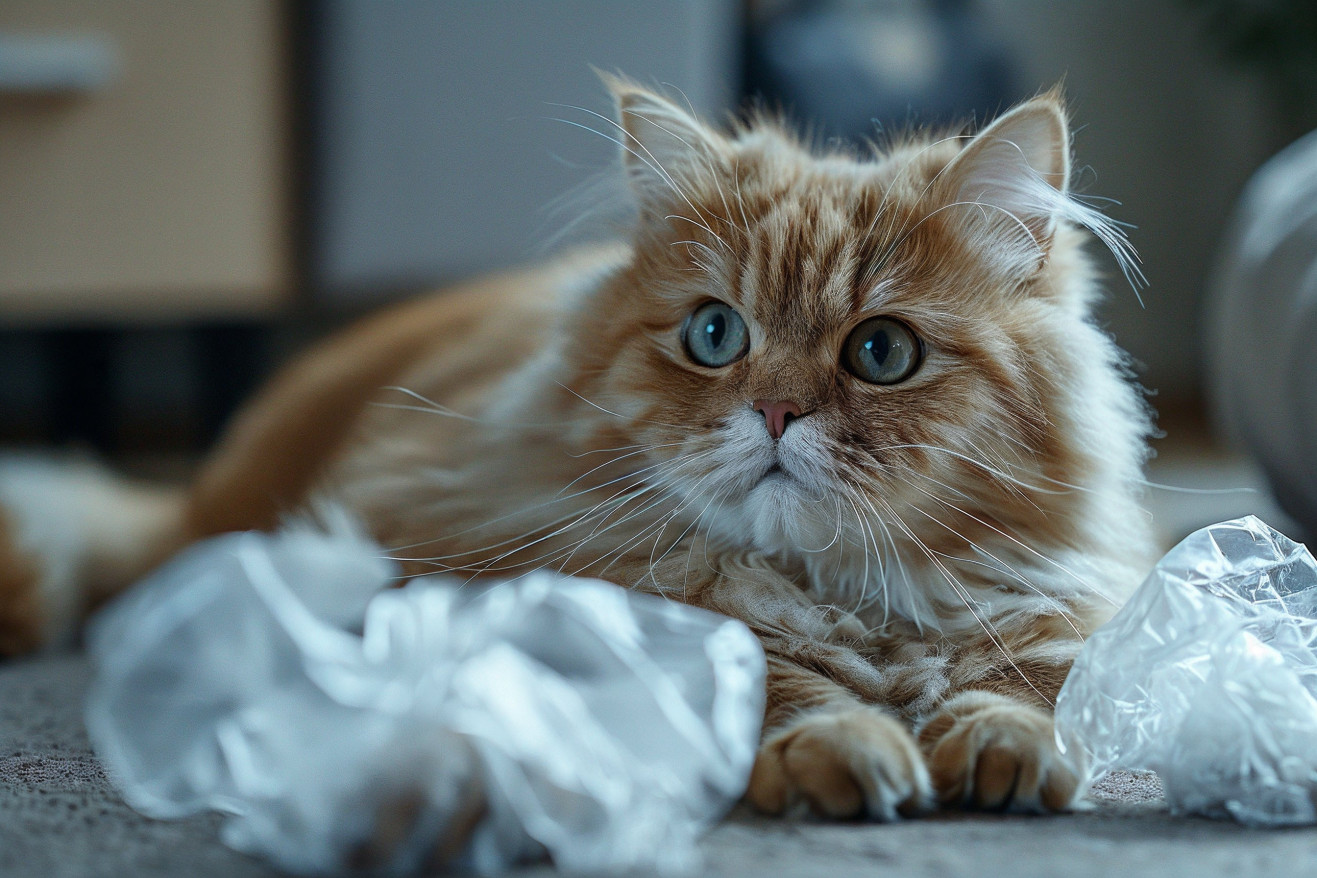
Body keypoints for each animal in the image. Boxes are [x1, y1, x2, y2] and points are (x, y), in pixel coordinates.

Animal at [0, 77, 1153, 826]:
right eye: (715, 335)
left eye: (882, 351)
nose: (776, 413)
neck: (843, 594)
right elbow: (760, 667)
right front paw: (843, 742)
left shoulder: (1063, 601)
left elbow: (1036, 681)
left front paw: (1005, 742)